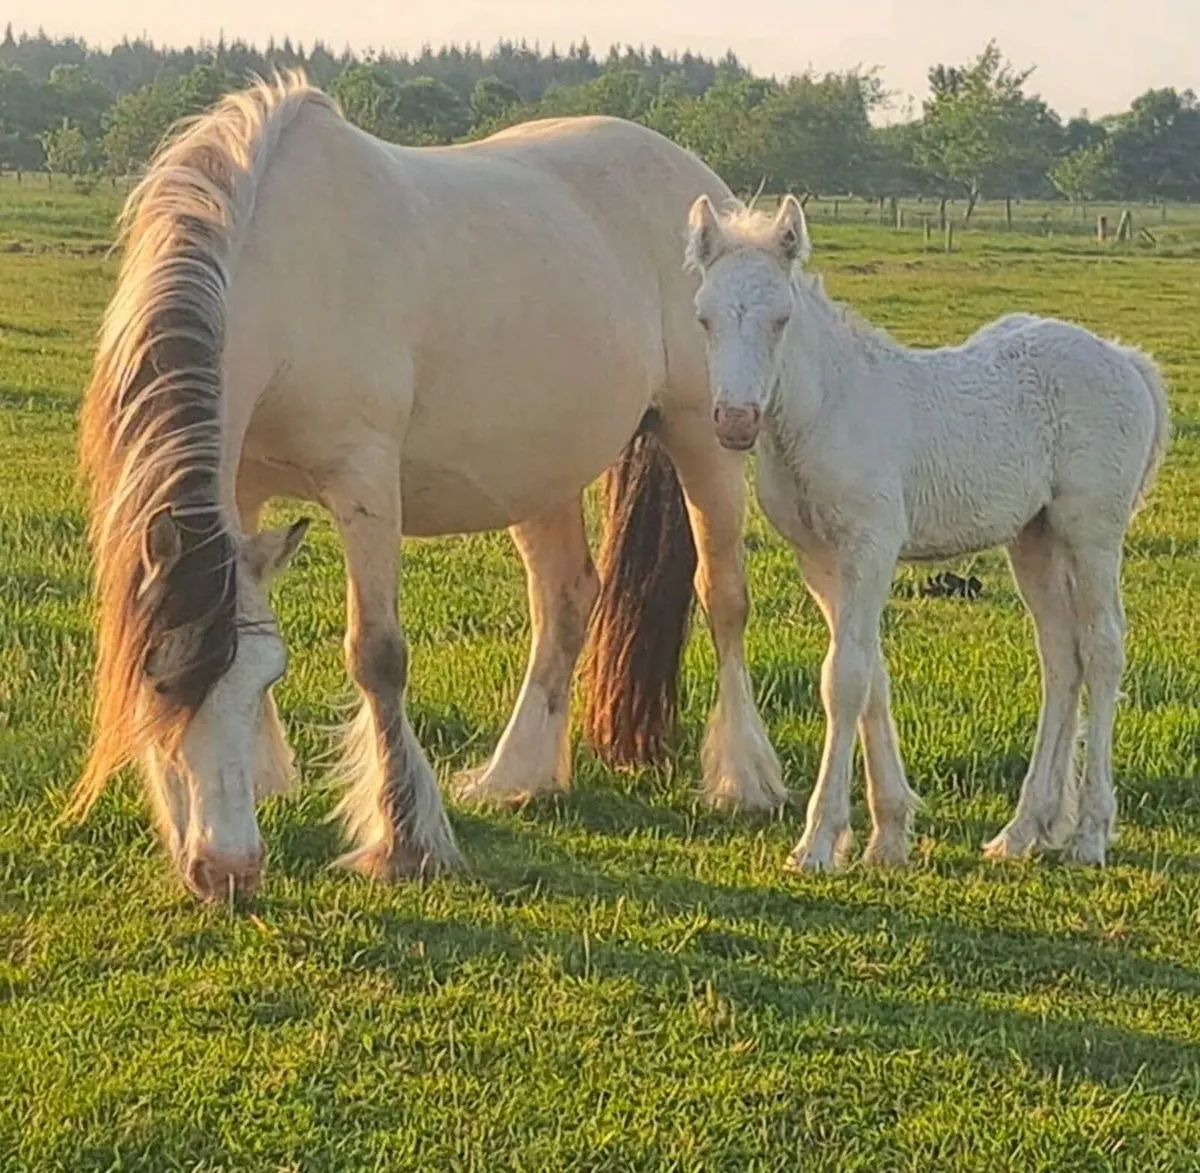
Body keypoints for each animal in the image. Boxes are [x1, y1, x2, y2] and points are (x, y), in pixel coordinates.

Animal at [70, 73, 788, 902]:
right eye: (157, 679)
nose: (230, 869)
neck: (284, 269)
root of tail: (702, 187)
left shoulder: (365, 482)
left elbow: (377, 654)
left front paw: (404, 839)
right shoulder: (242, 489)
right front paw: (271, 776)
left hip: (708, 438)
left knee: (724, 598)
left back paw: (745, 779)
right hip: (539, 470)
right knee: (567, 599)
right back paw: (518, 775)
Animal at [684, 193, 1170, 871]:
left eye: (781, 319)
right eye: (703, 319)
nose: (734, 421)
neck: (827, 410)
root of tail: (1124, 359)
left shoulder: (871, 546)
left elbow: (844, 678)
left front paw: (818, 841)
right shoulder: (820, 559)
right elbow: (870, 675)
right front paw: (888, 836)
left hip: (1091, 531)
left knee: (1102, 650)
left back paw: (1090, 835)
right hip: (1034, 538)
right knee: (1060, 657)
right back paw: (1023, 830)